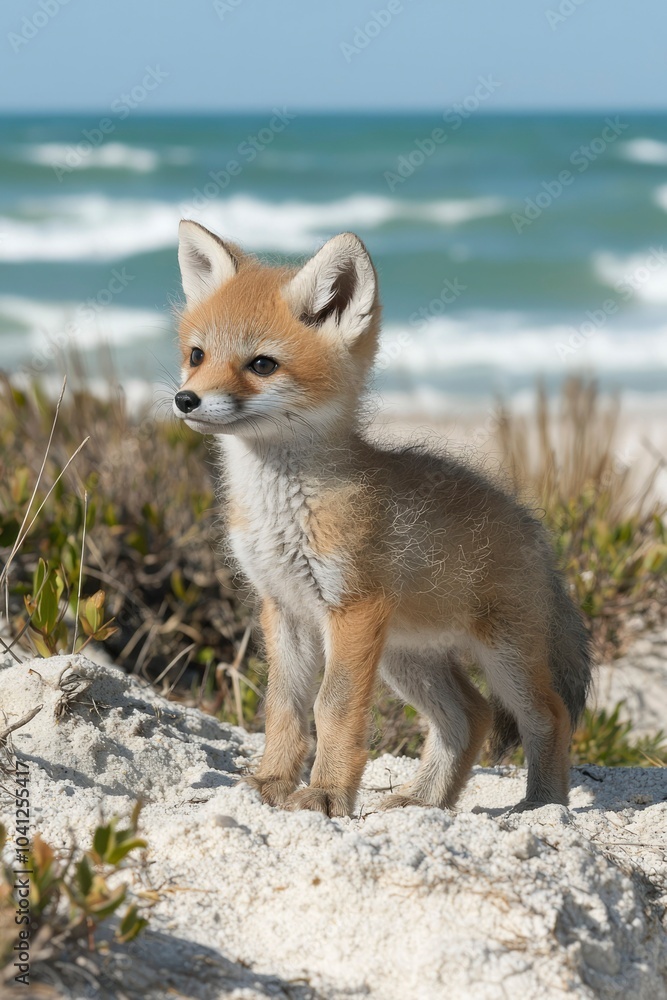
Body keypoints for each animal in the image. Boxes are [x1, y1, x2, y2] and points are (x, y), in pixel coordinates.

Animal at [172, 219, 592, 818]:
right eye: (197, 355)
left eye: (261, 364)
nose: (185, 399)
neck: (284, 514)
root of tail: (535, 528)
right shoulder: (285, 609)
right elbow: (283, 706)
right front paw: (273, 782)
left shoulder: (351, 608)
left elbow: (331, 708)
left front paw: (326, 793)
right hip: (405, 658)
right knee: (470, 717)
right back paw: (425, 803)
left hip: (503, 655)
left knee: (548, 715)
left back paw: (542, 807)